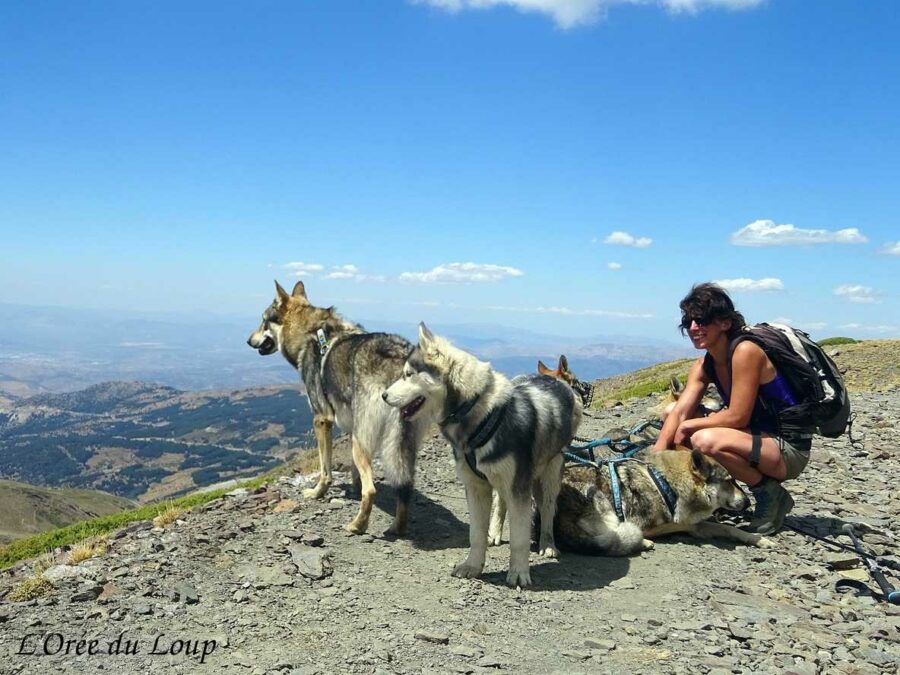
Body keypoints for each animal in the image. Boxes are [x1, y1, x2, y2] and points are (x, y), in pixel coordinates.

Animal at [244, 282, 430, 536]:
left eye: (263, 321)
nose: (248, 340)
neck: (310, 332)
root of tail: (399, 360)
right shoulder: (349, 426)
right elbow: (353, 472)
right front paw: (352, 487)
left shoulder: (321, 420)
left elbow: (325, 469)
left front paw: (317, 492)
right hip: (400, 443)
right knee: (405, 487)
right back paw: (397, 527)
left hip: (363, 441)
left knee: (372, 490)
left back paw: (357, 525)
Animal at [382, 324, 584, 588]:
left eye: (408, 374)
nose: (384, 395)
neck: (478, 413)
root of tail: (557, 382)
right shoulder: (476, 487)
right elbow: (475, 534)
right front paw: (472, 565)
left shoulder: (519, 487)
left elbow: (519, 537)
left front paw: (519, 572)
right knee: (501, 503)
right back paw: (495, 533)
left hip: (550, 473)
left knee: (548, 508)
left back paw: (548, 544)